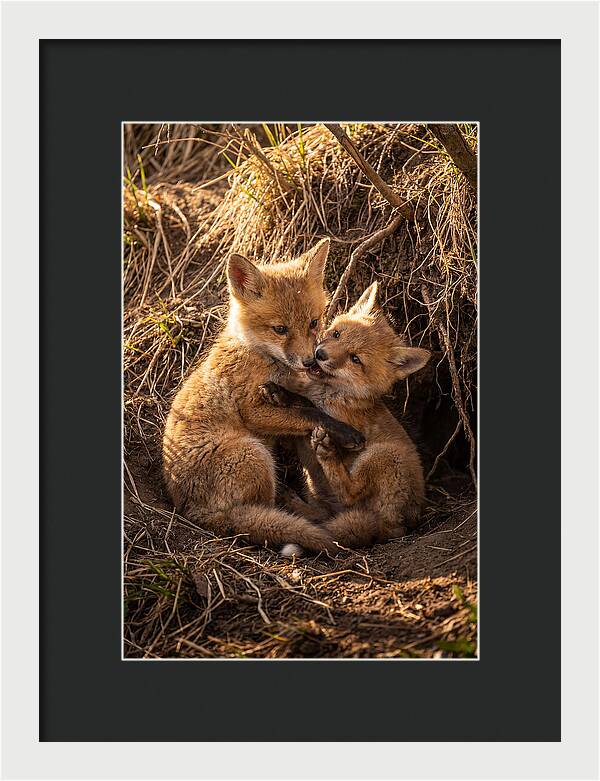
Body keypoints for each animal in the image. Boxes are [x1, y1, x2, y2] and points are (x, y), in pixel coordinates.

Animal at [162, 239, 365, 554]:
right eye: (280, 329)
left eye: (313, 322)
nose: (310, 361)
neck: (258, 354)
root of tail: (191, 511)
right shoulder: (252, 410)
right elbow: (309, 412)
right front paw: (345, 432)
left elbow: (304, 403)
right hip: (254, 454)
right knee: (264, 512)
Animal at [261, 281, 431, 555]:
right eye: (337, 334)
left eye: (355, 359)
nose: (320, 354)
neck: (328, 392)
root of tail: (398, 526)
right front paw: (280, 392)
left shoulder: (340, 421)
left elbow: (311, 408)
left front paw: (287, 396)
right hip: (323, 495)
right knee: (324, 514)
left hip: (383, 455)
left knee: (350, 492)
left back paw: (327, 454)